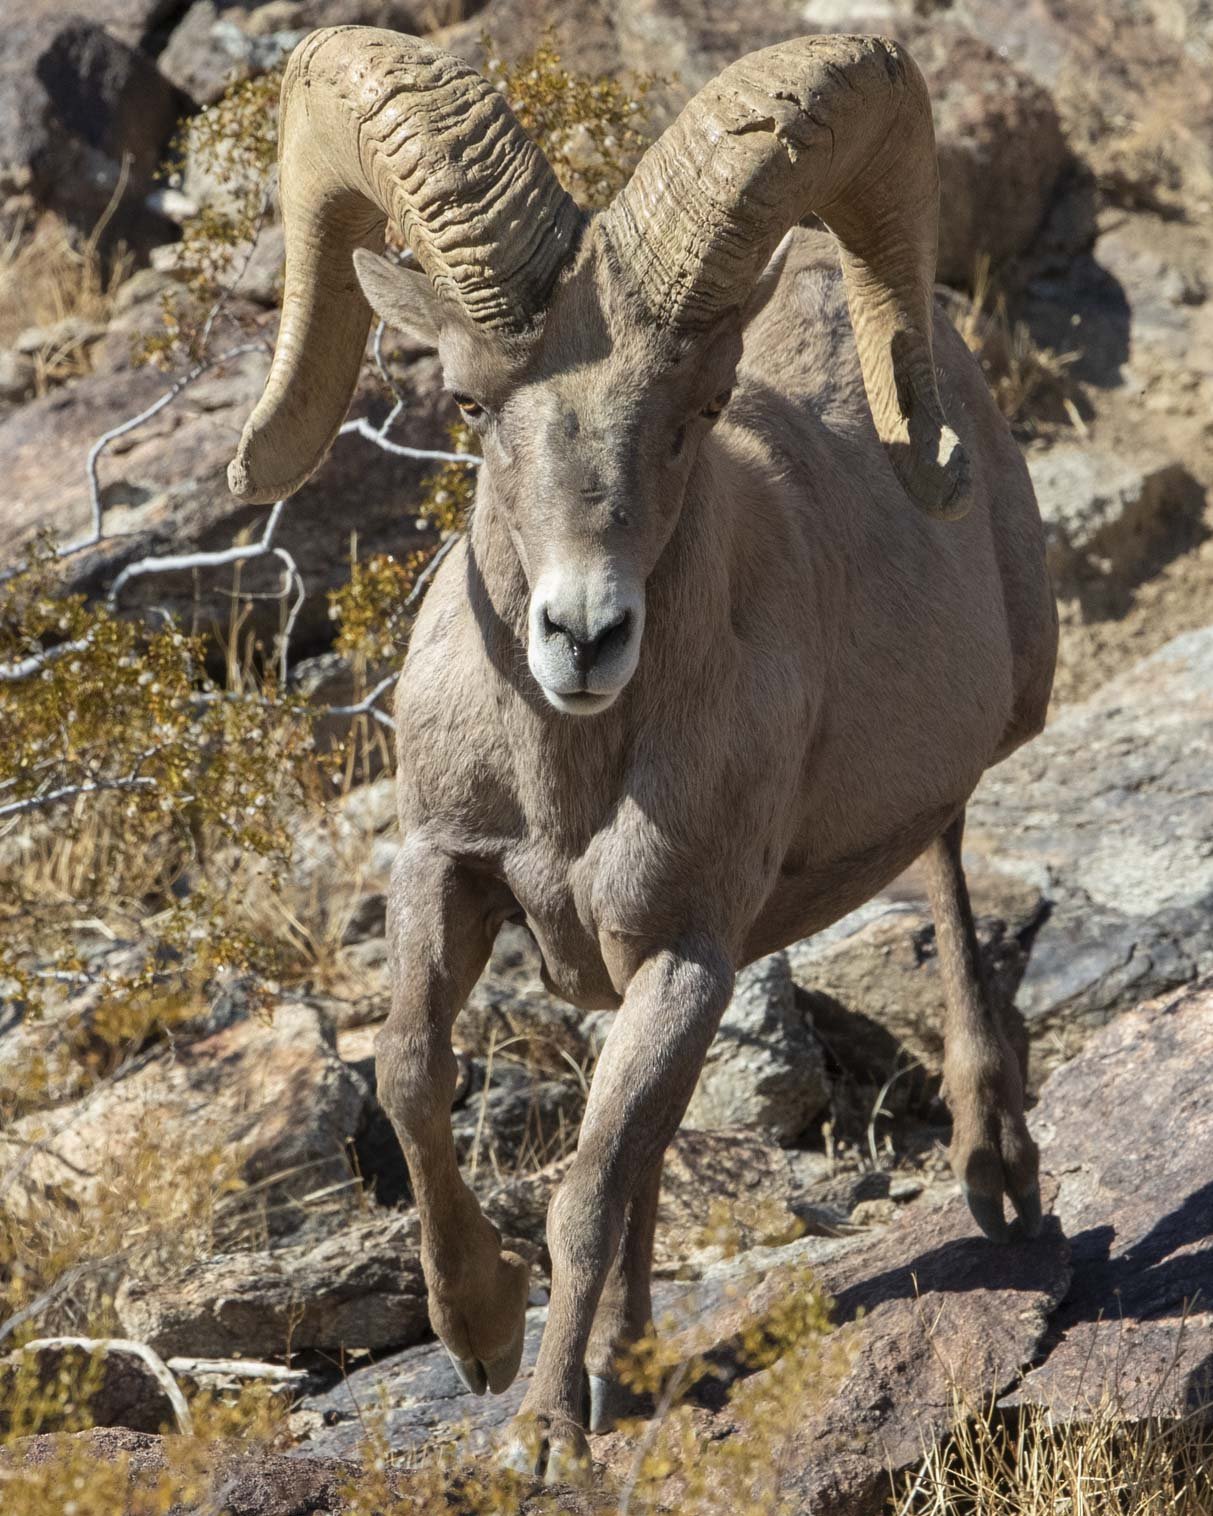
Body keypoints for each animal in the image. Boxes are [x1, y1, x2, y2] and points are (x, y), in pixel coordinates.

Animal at [230, 26, 1061, 1479]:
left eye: (697, 408)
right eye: (468, 405)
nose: (581, 636)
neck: (568, 783)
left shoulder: (684, 951)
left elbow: (587, 1181)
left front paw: (541, 1432)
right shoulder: (448, 870)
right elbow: (411, 1078)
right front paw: (480, 1332)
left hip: (981, 740)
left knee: (949, 864)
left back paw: (995, 1174)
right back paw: (628, 1350)